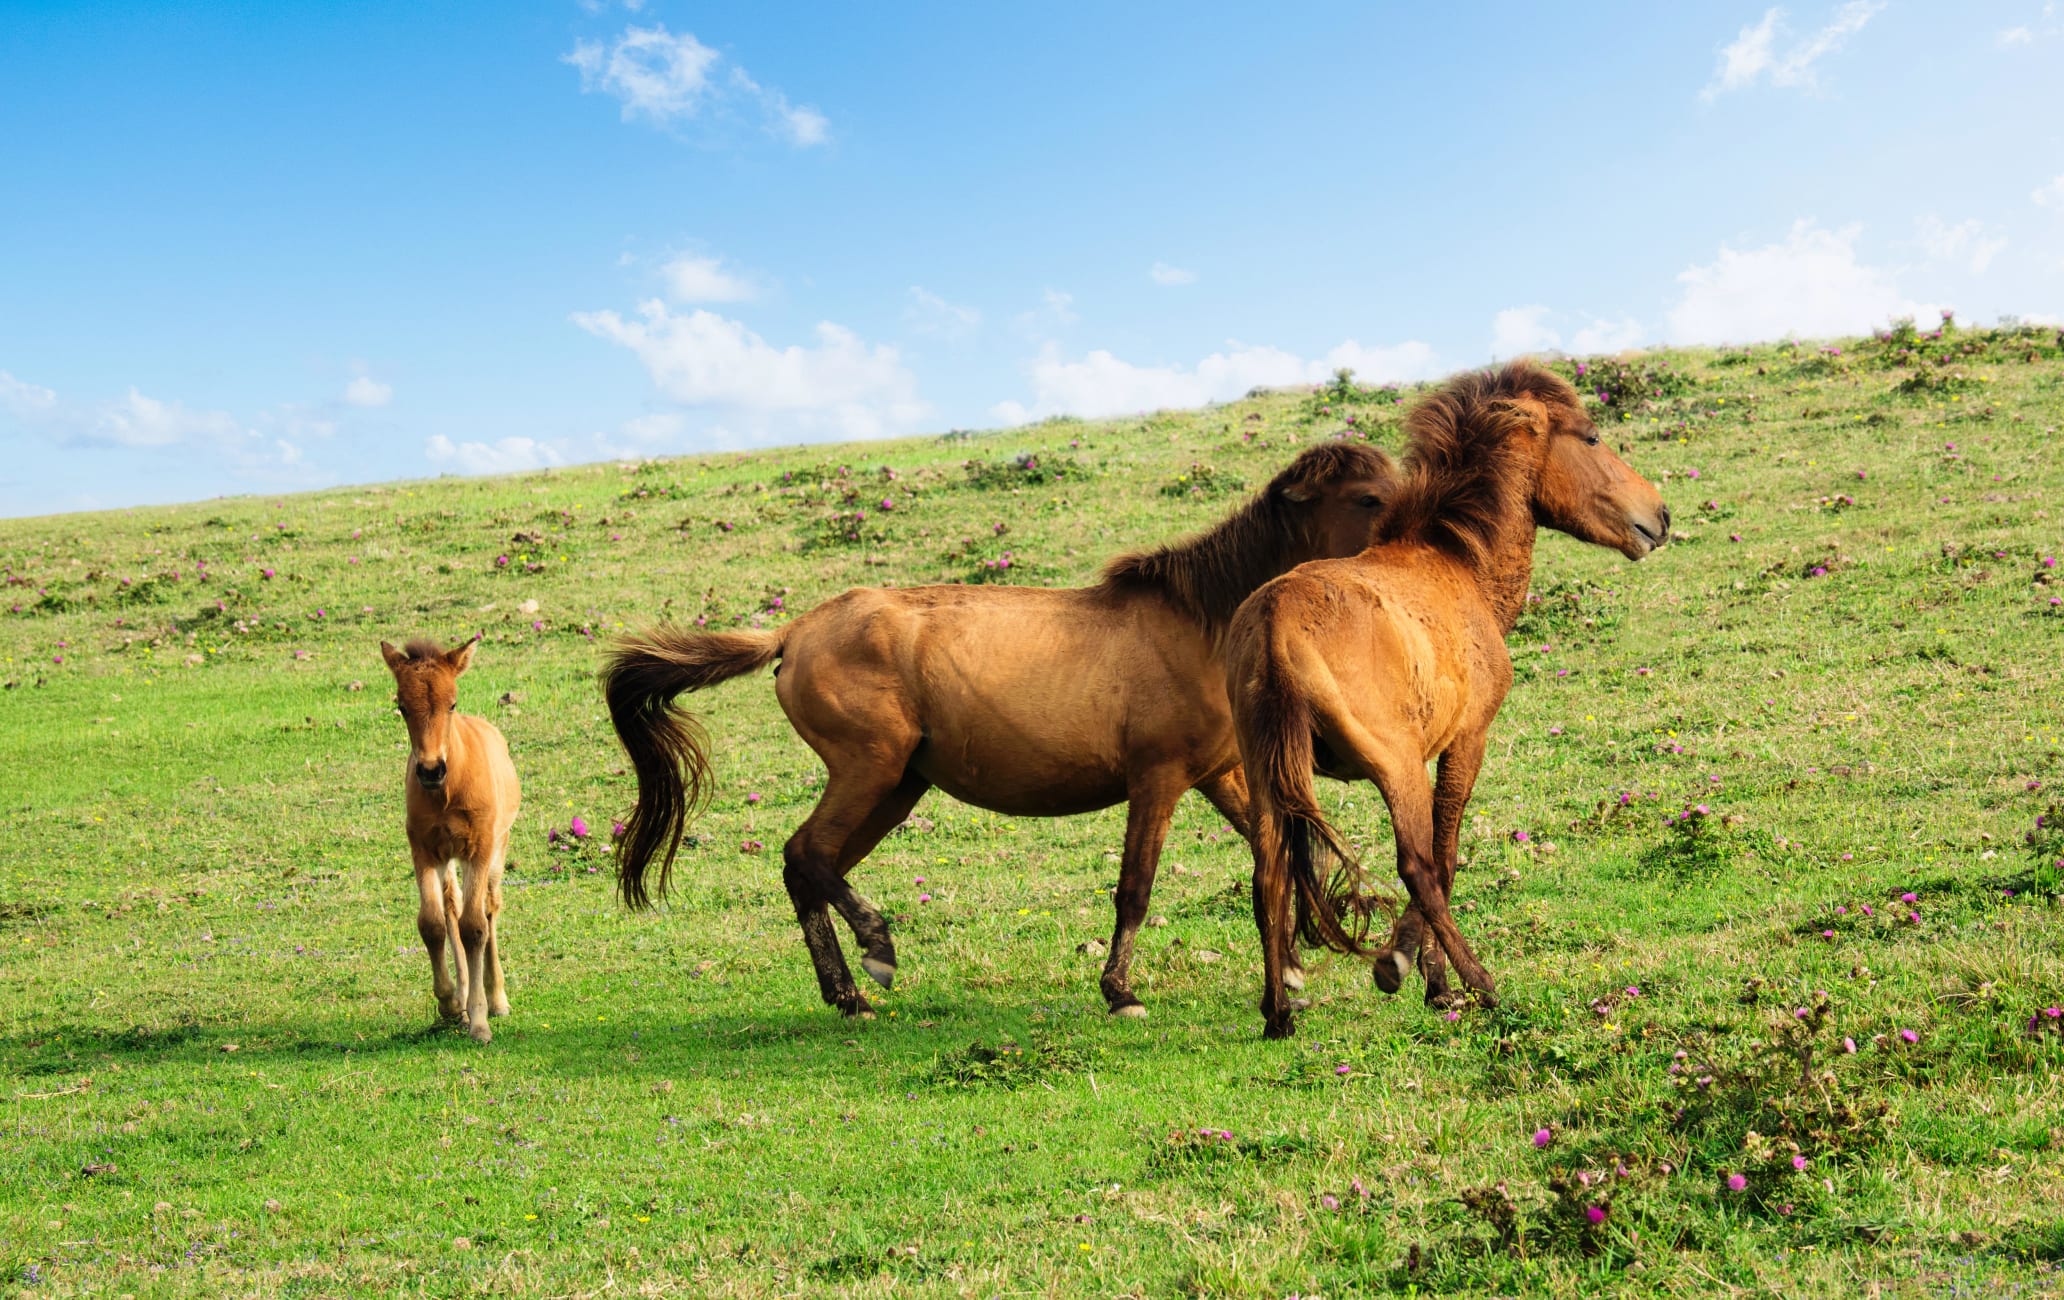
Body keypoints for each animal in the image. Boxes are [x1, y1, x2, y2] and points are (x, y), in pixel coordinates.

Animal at [383, 635, 524, 1044]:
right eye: (402, 706)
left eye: (452, 703)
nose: (431, 770)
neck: (446, 792)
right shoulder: (424, 850)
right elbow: (432, 923)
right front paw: (449, 1004)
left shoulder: (479, 848)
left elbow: (474, 927)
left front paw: (480, 1020)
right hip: (448, 858)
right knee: (452, 906)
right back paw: (461, 1000)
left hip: (498, 848)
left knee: (489, 908)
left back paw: (496, 999)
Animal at [602, 443, 1395, 1023]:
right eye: (1368, 497)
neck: (1200, 623)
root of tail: (794, 632)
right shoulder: (1159, 780)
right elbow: (1135, 888)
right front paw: (1121, 993)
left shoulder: (1222, 777)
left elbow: (1288, 859)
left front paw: (1295, 971)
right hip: (870, 770)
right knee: (808, 855)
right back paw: (876, 949)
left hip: (897, 787)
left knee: (809, 867)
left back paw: (848, 994)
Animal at [1230, 361, 1667, 1044]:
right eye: (1592, 437)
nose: (1660, 515)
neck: (1456, 562)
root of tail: (1276, 624)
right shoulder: (1466, 742)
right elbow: (1444, 855)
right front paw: (1420, 975)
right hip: (1397, 769)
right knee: (1417, 867)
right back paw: (1482, 984)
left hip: (1269, 777)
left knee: (1268, 874)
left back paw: (1279, 1013)